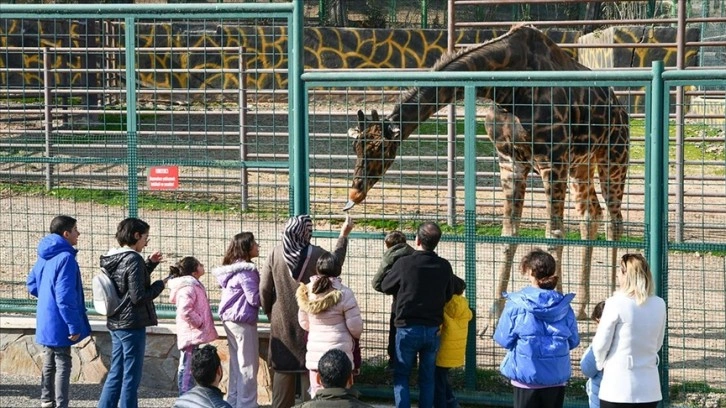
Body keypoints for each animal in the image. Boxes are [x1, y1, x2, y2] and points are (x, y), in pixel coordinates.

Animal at [346, 23, 632, 320]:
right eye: (355, 145)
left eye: (381, 147)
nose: (355, 192)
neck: (507, 90)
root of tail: (620, 109)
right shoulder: (510, 162)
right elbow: (508, 235)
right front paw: (494, 312)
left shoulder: (552, 161)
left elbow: (553, 236)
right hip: (581, 165)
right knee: (590, 215)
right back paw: (583, 305)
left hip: (613, 157)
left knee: (614, 220)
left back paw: (609, 298)